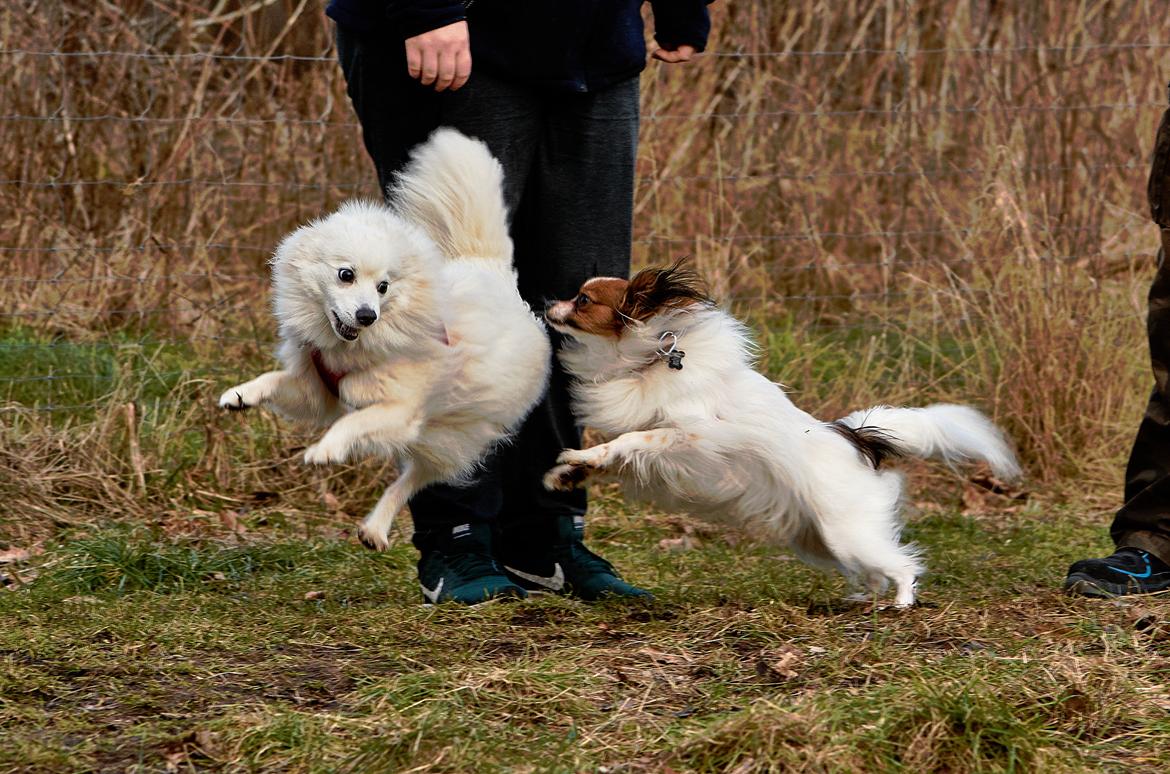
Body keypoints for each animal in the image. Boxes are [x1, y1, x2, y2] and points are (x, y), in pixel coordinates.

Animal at [221, 128, 549, 551]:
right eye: (345, 275)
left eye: (383, 287)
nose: (367, 315)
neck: (349, 348)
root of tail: (491, 270)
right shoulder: (316, 391)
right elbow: (277, 380)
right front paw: (240, 395)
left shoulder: (399, 411)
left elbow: (351, 423)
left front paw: (325, 450)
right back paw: (373, 530)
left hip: (450, 437)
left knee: (411, 481)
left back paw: (376, 527)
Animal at [542, 264, 1020, 607]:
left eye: (582, 300)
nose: (548, 301)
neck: (648, 362)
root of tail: (852, 437)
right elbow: (607, 456)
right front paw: (568, 472)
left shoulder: (687, 438)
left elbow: (629, 443)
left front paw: (580, 461)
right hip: (821, 540)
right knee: (873, 571)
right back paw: (862, 599)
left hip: (848, 533)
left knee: (901, 566)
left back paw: (899, 605)